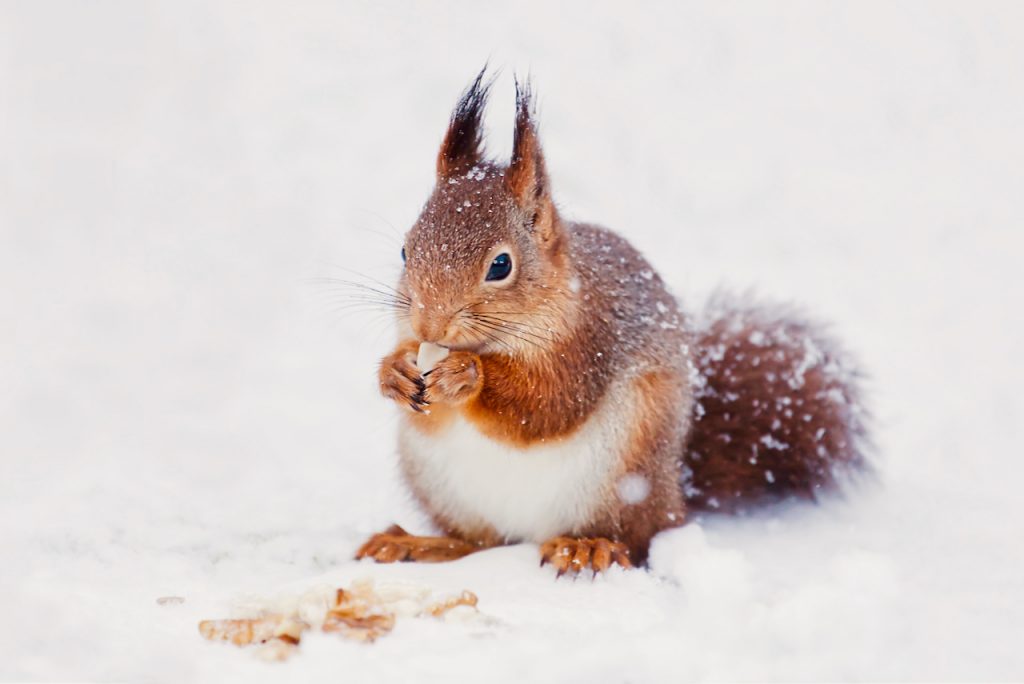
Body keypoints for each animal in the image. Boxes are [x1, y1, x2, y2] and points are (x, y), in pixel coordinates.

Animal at [356, 70, 868, 573]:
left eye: (500, 265)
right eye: (405, 250)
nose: (430, 329)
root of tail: (676, 492)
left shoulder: (589, 343)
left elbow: (546, 405)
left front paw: (466, 374)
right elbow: (428, 412)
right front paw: (394, 372)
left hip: (625, 474)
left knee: (634, 540)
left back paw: (588, 547)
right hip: (440, 483)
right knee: (479, 542)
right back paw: (418, 544)